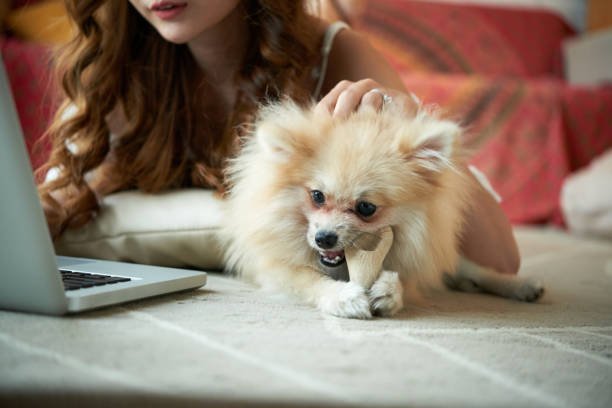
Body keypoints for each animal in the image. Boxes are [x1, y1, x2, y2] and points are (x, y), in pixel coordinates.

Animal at [221, 99, 544, 318]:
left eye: (366, 208)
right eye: (317, 196)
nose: (324, 238)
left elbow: (402, 278)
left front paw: (388, 290)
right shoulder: (273, 269)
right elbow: (308, 278)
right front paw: (342, 297)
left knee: (474, 270)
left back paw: (522, 286)